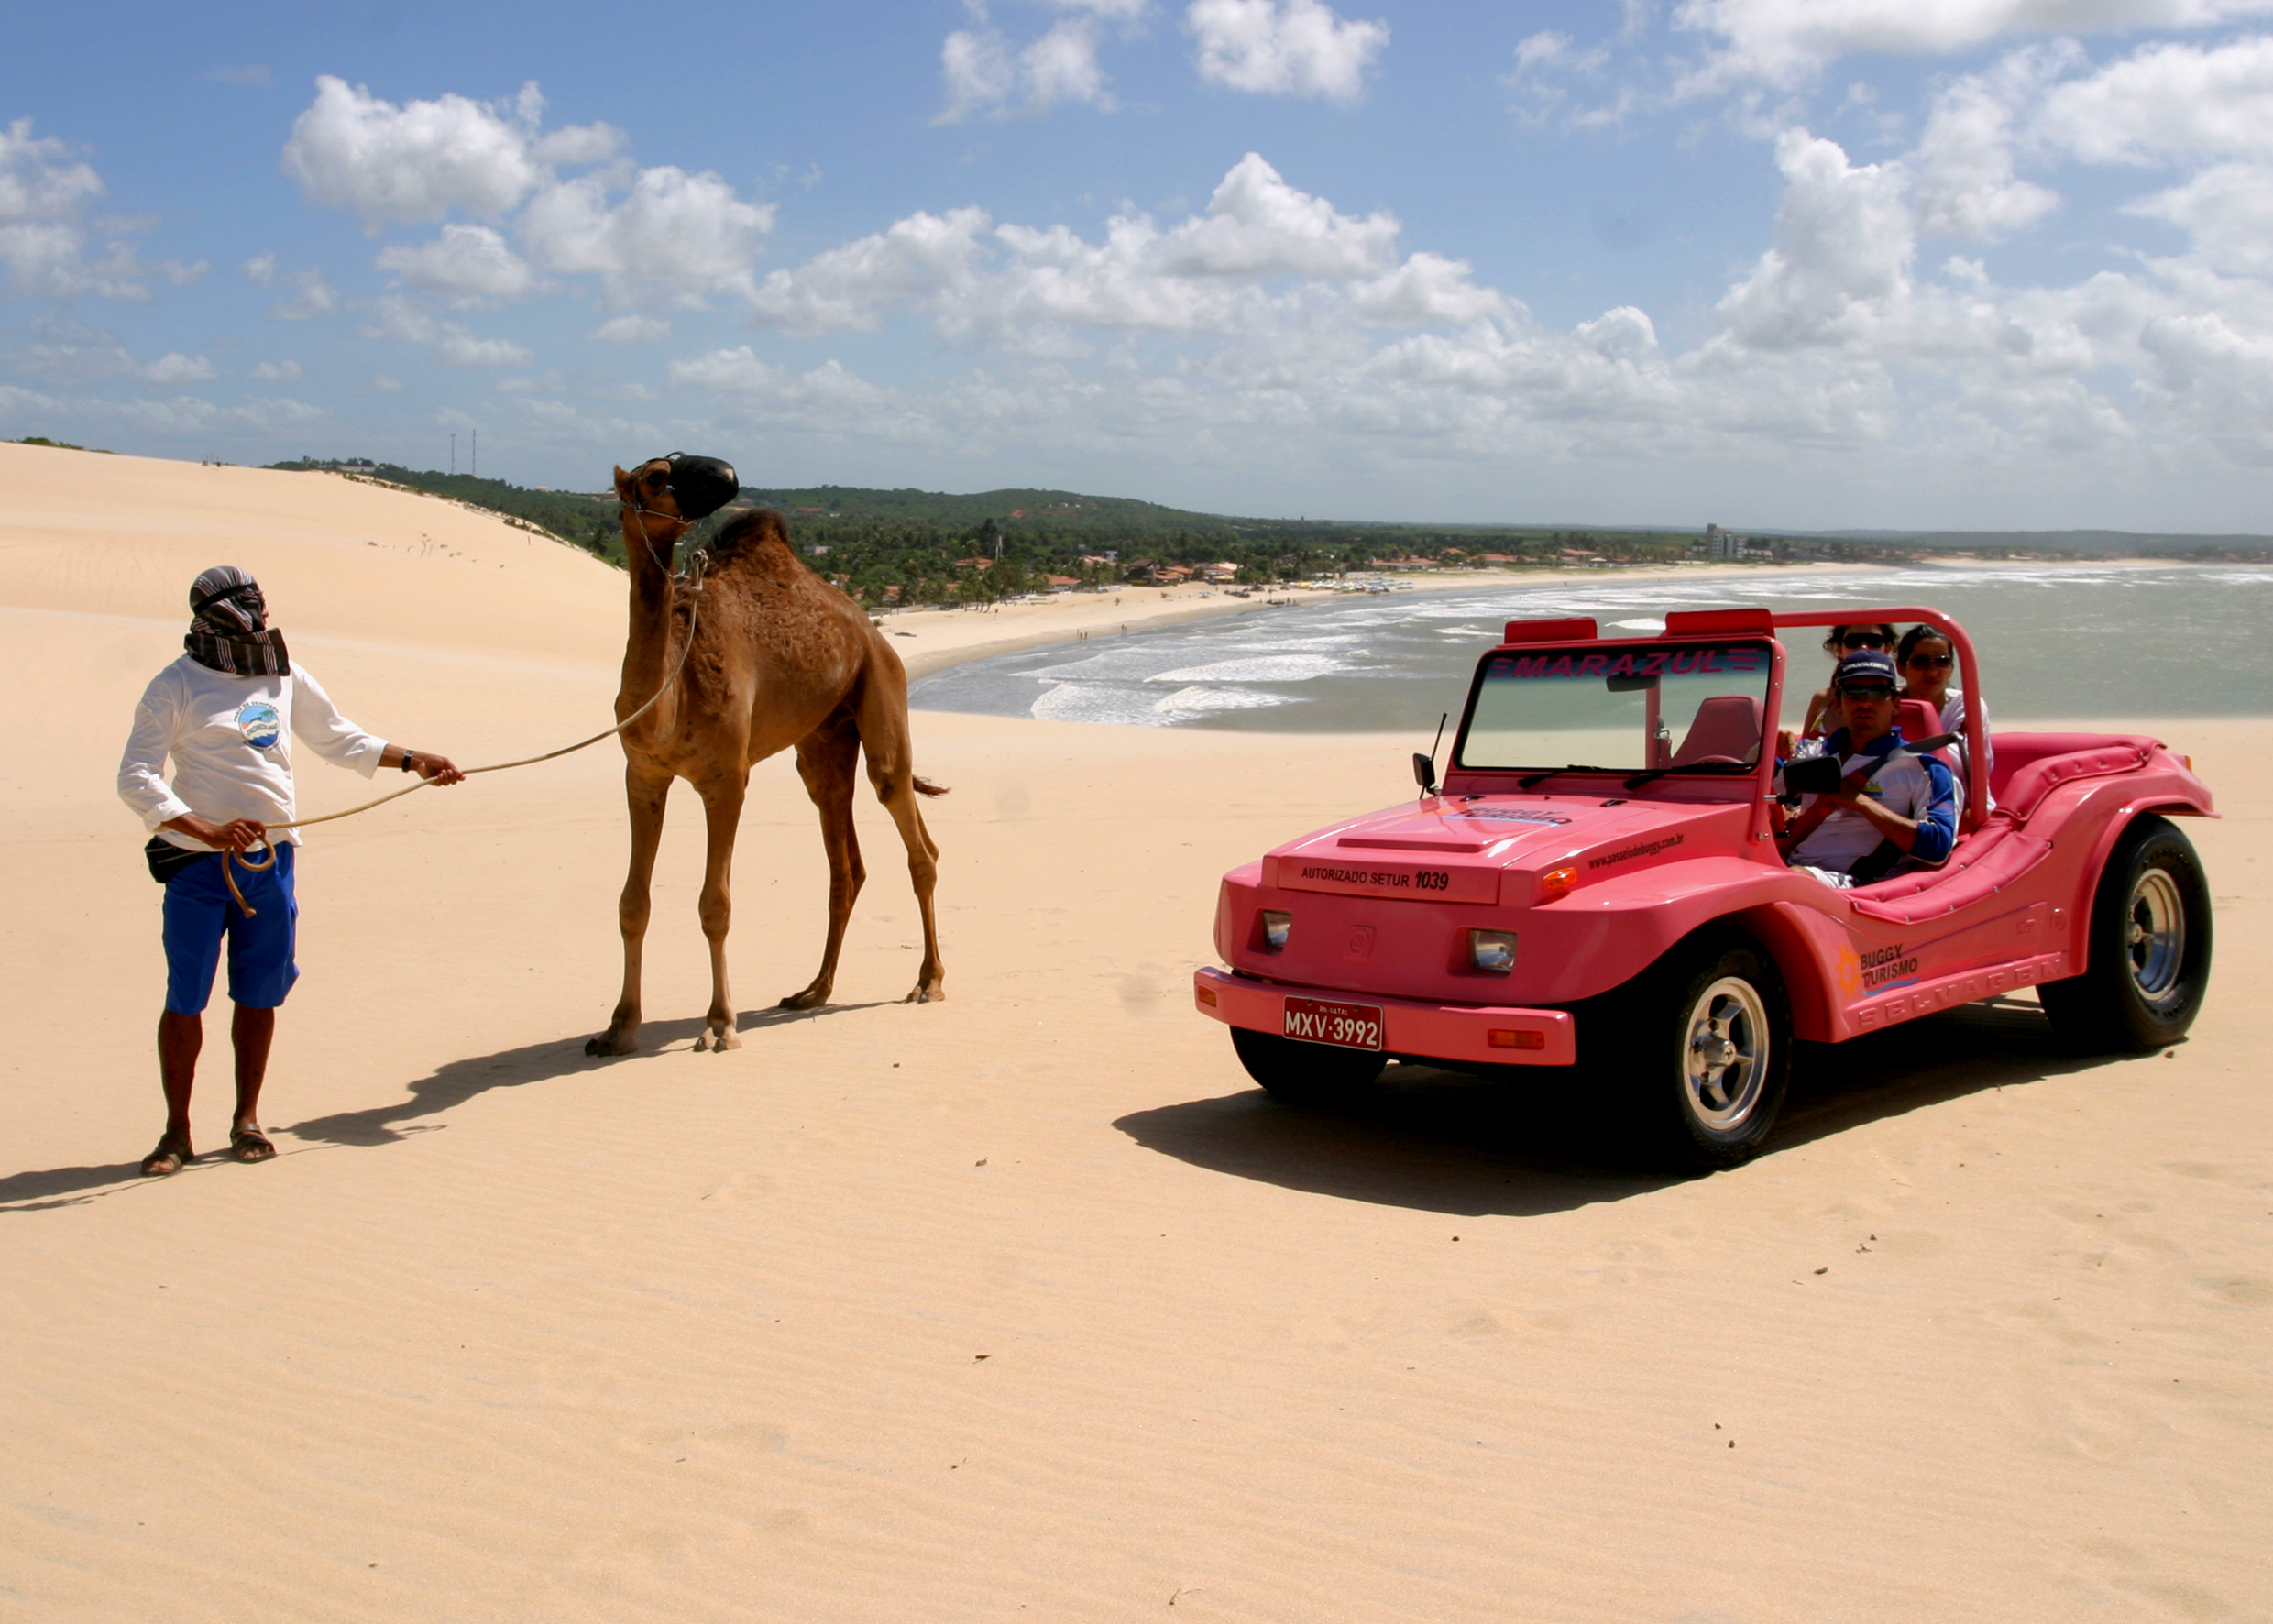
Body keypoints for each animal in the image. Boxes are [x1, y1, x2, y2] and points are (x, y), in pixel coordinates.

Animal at [586, 461, 950, 1067]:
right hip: (825, 743)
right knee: (846, 862)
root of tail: (869, 626)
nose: (726, 476)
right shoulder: (643, 776)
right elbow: (632, 903)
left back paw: (929, 981)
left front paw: (719, 1025)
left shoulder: (727, 777)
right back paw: (812, 991)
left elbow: (715, 904)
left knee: (910, 827)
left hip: (881, 687)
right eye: (658, 475)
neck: (669, 694)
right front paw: (618, 1028)